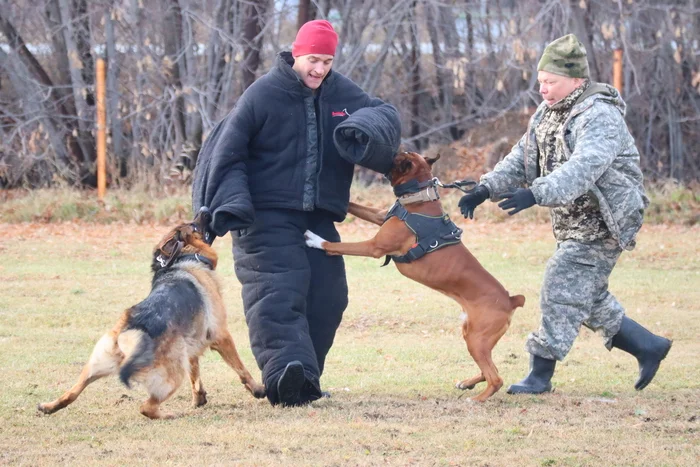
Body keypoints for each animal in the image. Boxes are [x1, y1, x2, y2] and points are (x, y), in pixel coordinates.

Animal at [39, 209, 266, 420]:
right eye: (193, 225)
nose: (203, 209)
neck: (182, 259)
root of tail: (131, 334)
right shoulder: (221, 336)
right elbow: (241, 368)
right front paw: (257, 389)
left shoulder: (191, 345)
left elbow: (195, 375)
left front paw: (199, 398)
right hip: (171, 376)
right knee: (146, 407)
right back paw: (170, 415)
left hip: (95, 367)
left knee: (71, 393)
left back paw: (48, 406)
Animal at [306, 153, 524, 402]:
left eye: (397, 158)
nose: (387, 156)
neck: (420, 199)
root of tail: (510, 299)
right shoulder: (380, 216)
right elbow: (356, 206)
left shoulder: (373, 247)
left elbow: (337, 246)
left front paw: (316, 239)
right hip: (472, 335)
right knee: (489, 369)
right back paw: (467, 383)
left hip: (477, 339)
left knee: (496, 378)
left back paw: (476, 398)